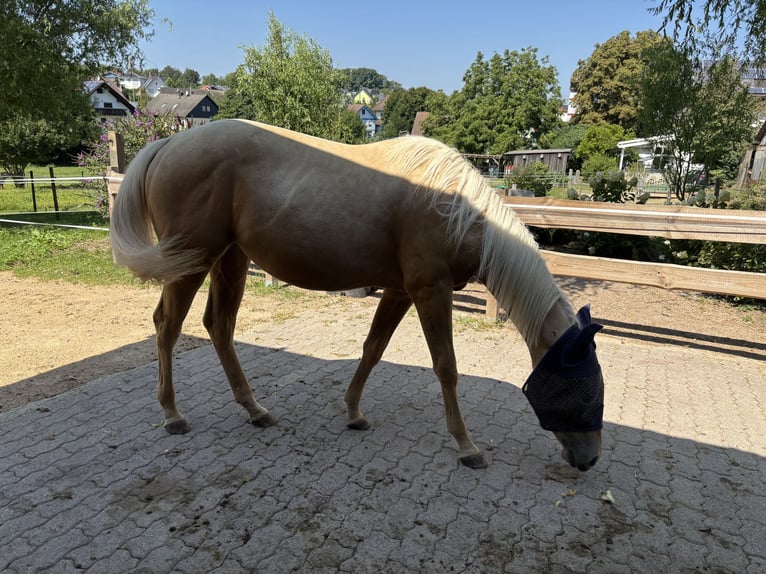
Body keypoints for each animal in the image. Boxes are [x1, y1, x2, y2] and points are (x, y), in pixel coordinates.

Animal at [110, 119, 605, 470]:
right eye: (584, 388)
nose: (589, 460)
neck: (454, 207)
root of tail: (167, 144)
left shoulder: (401, 291)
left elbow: (373, 349)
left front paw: (352, 412)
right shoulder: (430, 291)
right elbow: (446, 367)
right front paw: (466, 445)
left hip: (229, 260)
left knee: (219, 326)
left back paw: (254, 409)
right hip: (191, 260)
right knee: (168, 326)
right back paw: (173, 415)